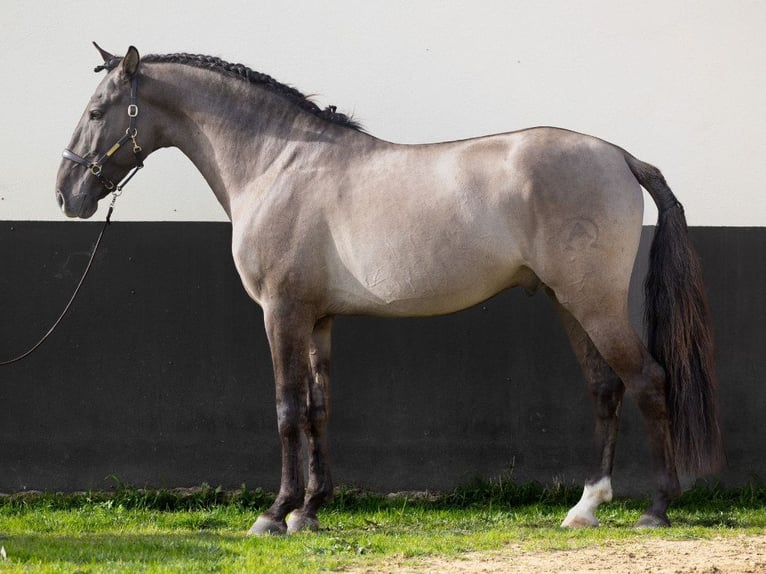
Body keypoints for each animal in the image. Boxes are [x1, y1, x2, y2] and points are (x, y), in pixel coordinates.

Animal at [56, 44, 724, 535]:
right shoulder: (319, 320)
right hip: (569, 304)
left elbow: (286, 411)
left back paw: (656, 508)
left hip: (594, 303)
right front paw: (310, 511)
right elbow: (318, 409)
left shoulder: (282, 314)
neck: (278, 163)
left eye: (96, 112)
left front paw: (275, 513)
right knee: (605, 388)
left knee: (649, 380)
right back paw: (585, 506)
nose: (67, 194)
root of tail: (622, 157)